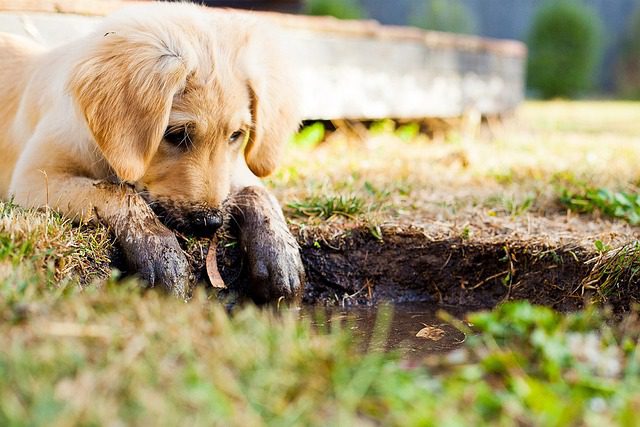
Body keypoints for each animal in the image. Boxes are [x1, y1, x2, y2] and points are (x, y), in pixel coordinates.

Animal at [0, 1, 304, 302]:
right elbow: (116, 191)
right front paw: (160, 252)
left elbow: (257, 190)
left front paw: (280, 254)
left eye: (235, 136)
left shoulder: (231, 171)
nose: (210, 223)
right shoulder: (33, 179)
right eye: (176, 135)